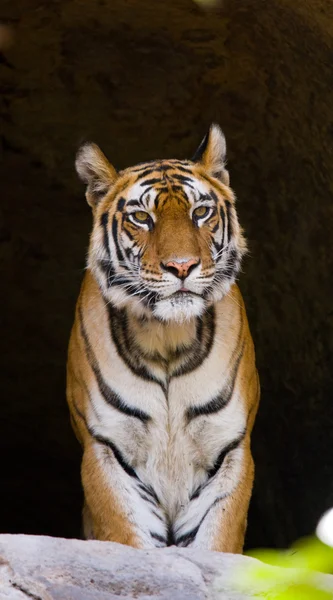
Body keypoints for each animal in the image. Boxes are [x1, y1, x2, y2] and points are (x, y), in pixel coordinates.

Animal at [67, 122, 260, 552]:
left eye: (200, 212)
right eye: (141, 217)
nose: (182, 266)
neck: (166, 337)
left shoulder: (229, 448)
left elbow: (216, 541)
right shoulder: (106, 448)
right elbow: (127, 538)